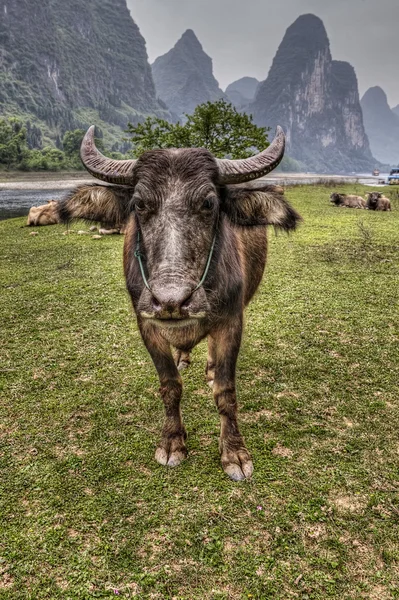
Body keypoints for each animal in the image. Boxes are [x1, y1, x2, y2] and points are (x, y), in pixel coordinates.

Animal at [58, 124, 300, 480]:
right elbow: (169, 385)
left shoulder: (232, 321)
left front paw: (234, 452)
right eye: (139, 204)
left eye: (209, 203)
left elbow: (225, 392)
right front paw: (172, 442)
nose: (171, 300)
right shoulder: (146, 323)